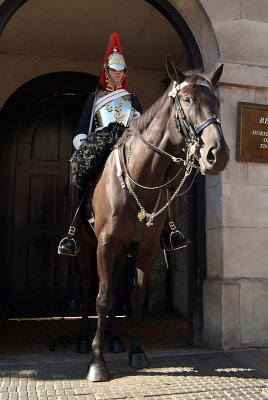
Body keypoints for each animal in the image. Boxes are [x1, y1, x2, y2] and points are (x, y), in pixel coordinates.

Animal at [78, 57, 229, 382]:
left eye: (216, 101)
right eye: (187, 100)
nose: (218, 154)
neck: (139, 179)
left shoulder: (146, 249)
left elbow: (133, 298)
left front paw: (136, 351)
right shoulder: (105, 245)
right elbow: (101, 298)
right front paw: (97, 362)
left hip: (122, 255)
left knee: (117, 292)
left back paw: (115, 340)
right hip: (85, 248)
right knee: (86, 290)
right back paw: (85, 342)